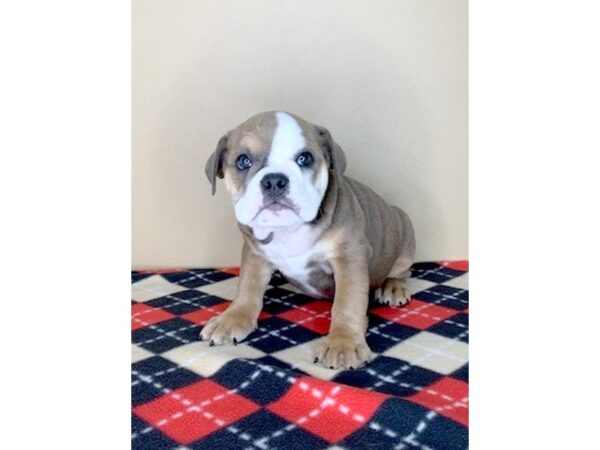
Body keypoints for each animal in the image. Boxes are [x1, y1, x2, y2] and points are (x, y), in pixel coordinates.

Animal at [199, 110, 414, 370]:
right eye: (243, 161)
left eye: (304, 158)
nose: (274, 180)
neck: (288, 230)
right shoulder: (254, 252)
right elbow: (247, 286)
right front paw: (233, 317)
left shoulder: (349, 255)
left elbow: (348, 301)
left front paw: (343, 342)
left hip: (404, 227)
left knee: (402, 271)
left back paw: (393, 286)